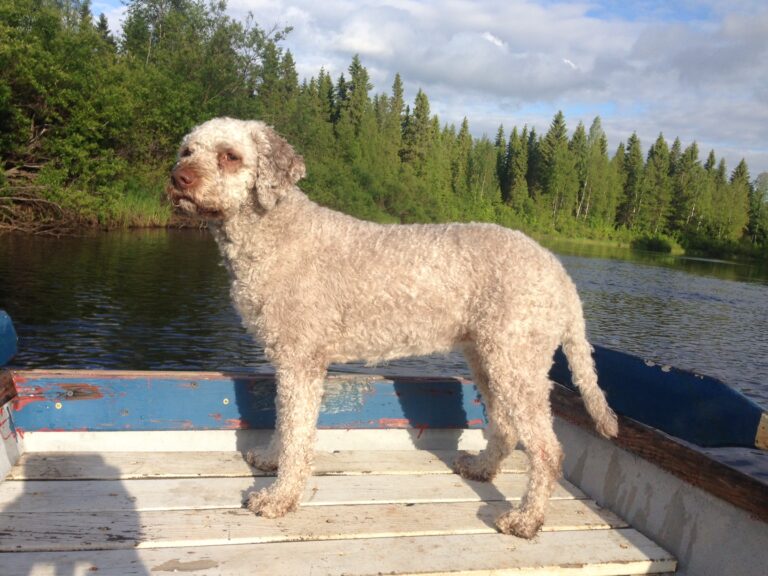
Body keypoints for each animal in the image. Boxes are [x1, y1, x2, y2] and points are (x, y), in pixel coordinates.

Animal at [168, 117, 616, 540]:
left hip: (516, 365)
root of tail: (559, 272)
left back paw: (525, 520)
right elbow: (285, 423)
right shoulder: (287, 362)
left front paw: (279, 498)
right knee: (505, 428)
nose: (178, 178)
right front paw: (270, 459)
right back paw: (481, 468)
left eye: (230, 156)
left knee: (547, 450)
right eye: (187, 150)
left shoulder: (301, 361)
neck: (276, 233)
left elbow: (297, 435)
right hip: (488, 359)